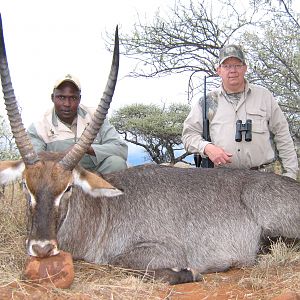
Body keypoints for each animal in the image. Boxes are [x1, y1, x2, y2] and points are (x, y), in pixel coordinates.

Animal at [0, 13, 300, 286]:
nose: (41, 247)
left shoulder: (161, 250)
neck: (103, 210)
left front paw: (187, 273)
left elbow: (125, 263)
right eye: (25, 185)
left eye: (68, 188)